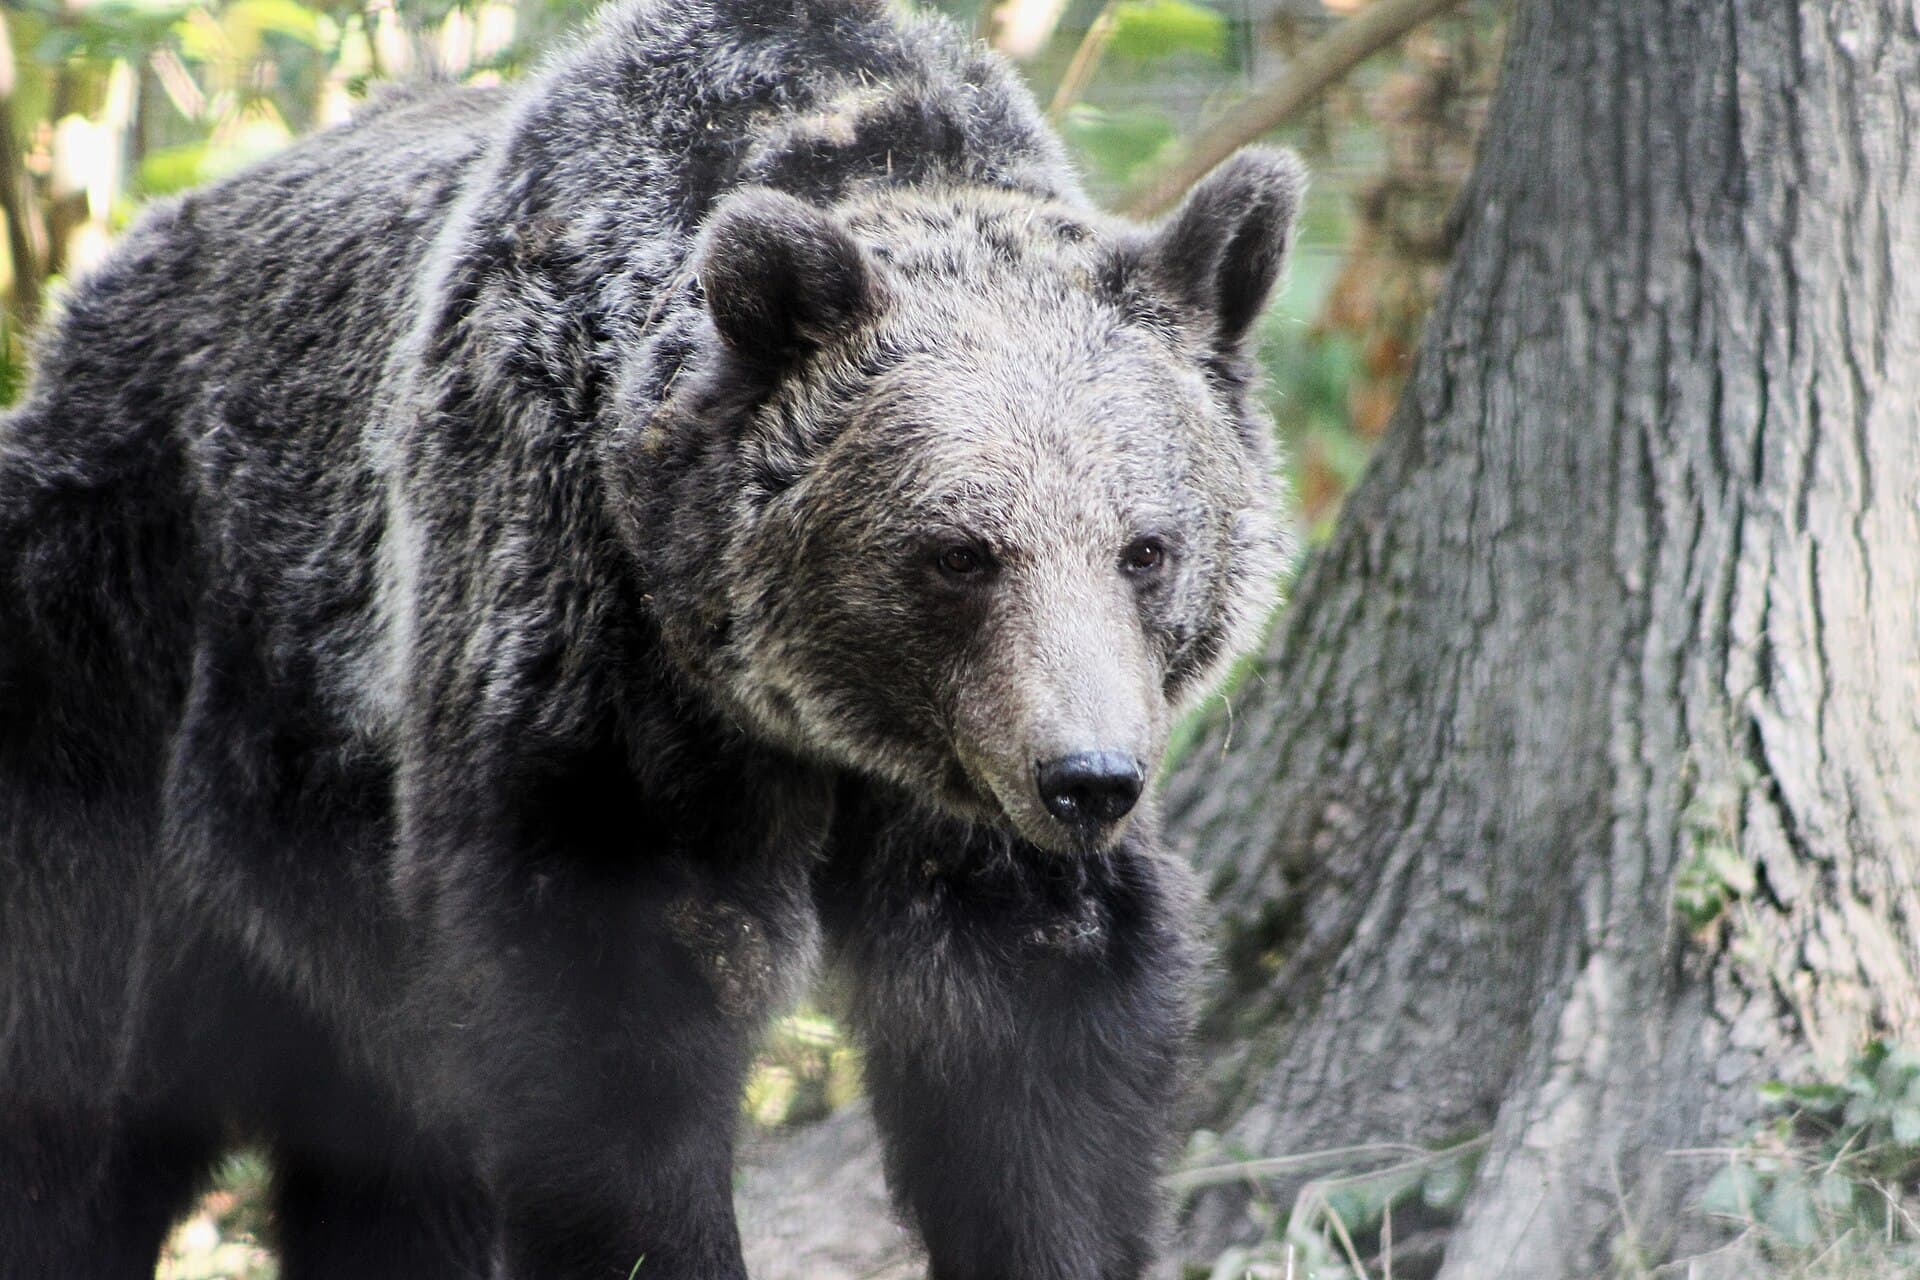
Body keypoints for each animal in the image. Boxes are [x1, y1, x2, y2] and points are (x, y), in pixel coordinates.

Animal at [0, 0, 1303, 1274]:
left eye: (1146, 546)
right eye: (960, 551)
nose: (1089, 776)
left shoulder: (971, 802)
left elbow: (1039, 1066)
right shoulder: (588, 654)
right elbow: (612, 1041)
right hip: (121, 660)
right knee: (70, 1073)